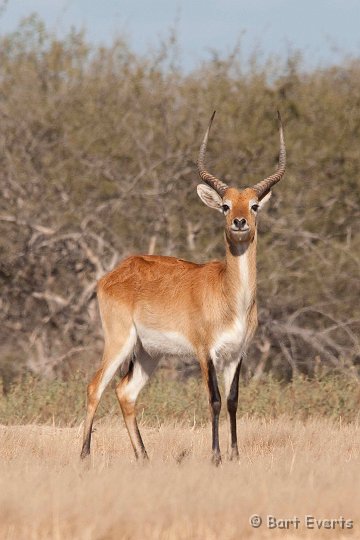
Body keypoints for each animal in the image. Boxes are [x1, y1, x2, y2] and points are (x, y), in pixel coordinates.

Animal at [80, 110, 286, 464]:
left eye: (254, 205)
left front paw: (235, 456)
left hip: (148, 352)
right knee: (97, 386)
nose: (240, 223)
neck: (230, 297)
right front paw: (216, 457)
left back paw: (144, 458)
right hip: (120, 341)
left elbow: (233, 401)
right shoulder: (206, 353)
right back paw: (85, 457)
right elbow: (214, 400)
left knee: (125, 391)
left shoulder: (237, 353)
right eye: (225, 205)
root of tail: (114, 273)